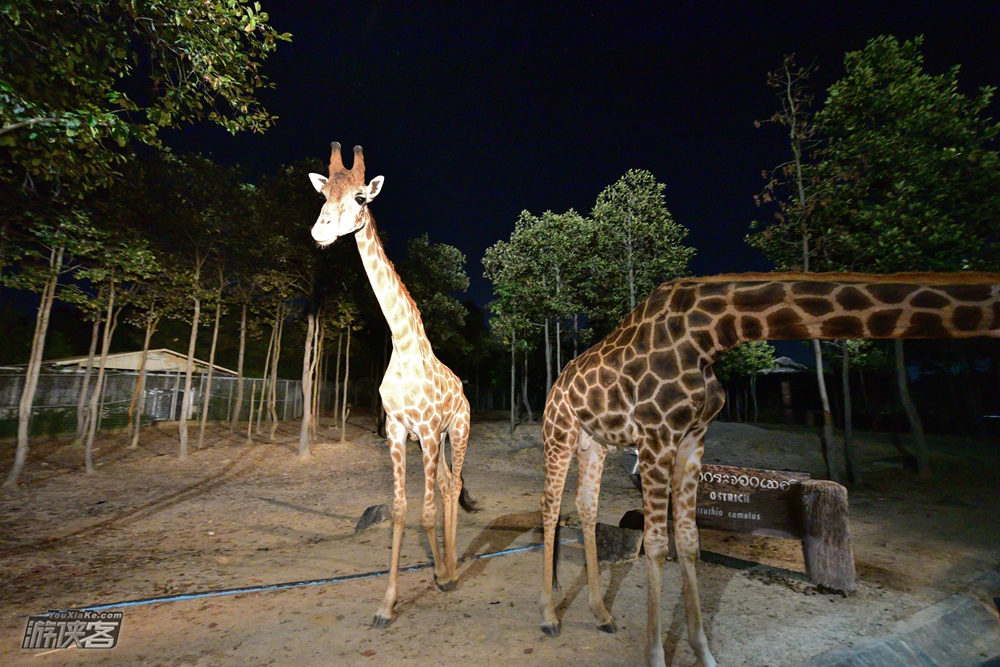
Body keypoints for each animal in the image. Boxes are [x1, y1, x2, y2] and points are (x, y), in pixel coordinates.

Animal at [306, 144, 474, 628]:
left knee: (454, 484)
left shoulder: (429, 429)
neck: (402, 343)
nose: (319, 230)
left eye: (361, 197)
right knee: (445, 485)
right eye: (324, 194)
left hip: (457, 431)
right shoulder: (399, 430)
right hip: (434, 439)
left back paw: (452, 569)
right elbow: (401, 509)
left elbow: (428, 512)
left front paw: (441, 576)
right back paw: (446, 564)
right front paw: (387, 603)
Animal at [540, 272, 1000, 667]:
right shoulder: (658, 435)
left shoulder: (693, 438)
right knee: (550, 505)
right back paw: (549, 616)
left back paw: (601, 613)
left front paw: (704, 653)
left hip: (595, 442)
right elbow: (655, 544)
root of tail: (556, 382)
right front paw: (654, 657)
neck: (713, 334)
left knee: (585, 506)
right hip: (559, 432)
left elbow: (688, 541)